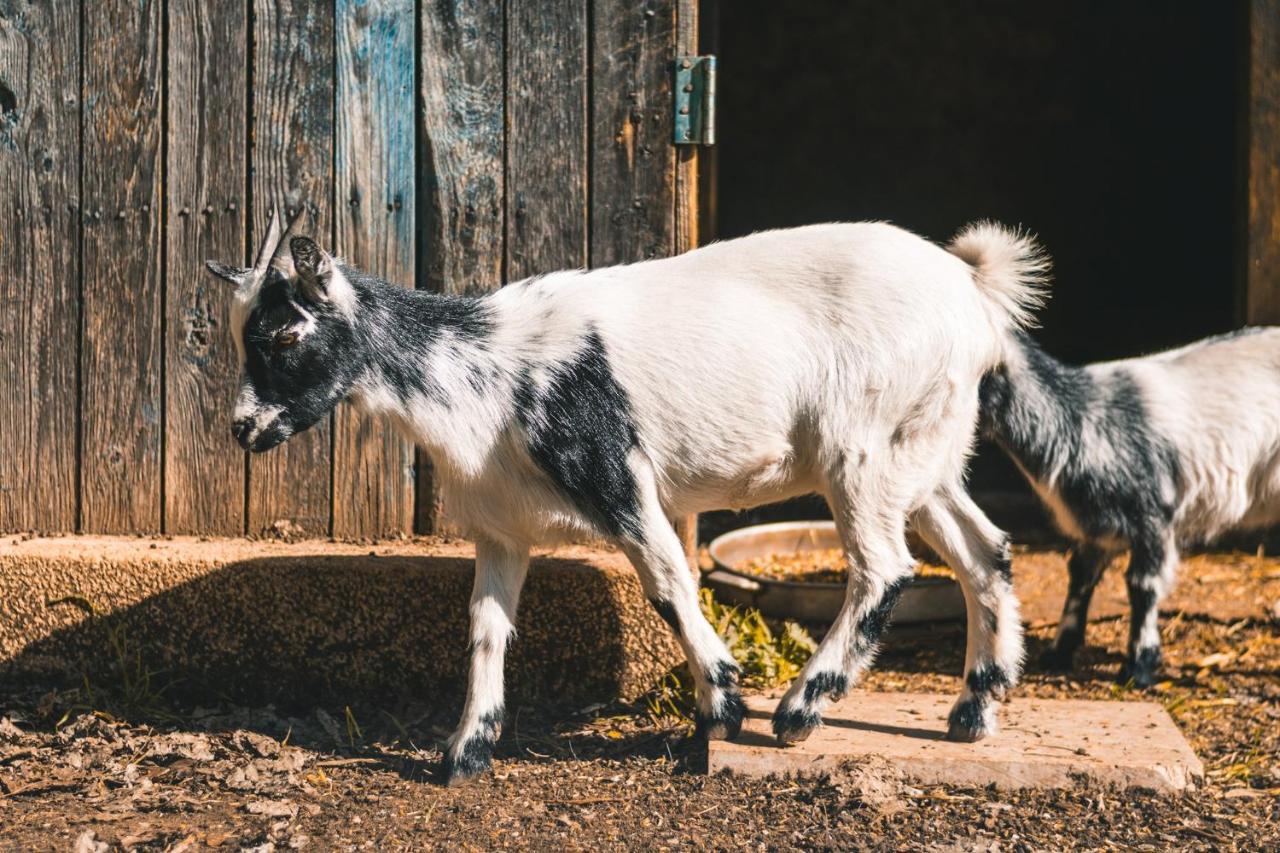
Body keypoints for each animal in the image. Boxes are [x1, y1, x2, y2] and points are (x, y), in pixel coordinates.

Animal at [207, 211, 1049, 778]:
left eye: (284, 334)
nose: (243, 429)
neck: (486, 367)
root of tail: (974, 290)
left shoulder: (616, 478)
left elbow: (669, 584)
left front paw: (723, 700)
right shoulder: (502, 525)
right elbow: (485, 628)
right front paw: (466, 748)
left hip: (862, 447)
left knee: (885, 567)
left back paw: (800, 708)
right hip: (927, 450)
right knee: (985, 552)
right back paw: (974, 708)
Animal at [977, 325, 1280, 686]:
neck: (1081, 416)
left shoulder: (1152, 516)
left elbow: (1142, 586)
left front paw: (1139, 665)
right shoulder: (1097, 527)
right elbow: (1079, 578)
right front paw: (1059, 652)